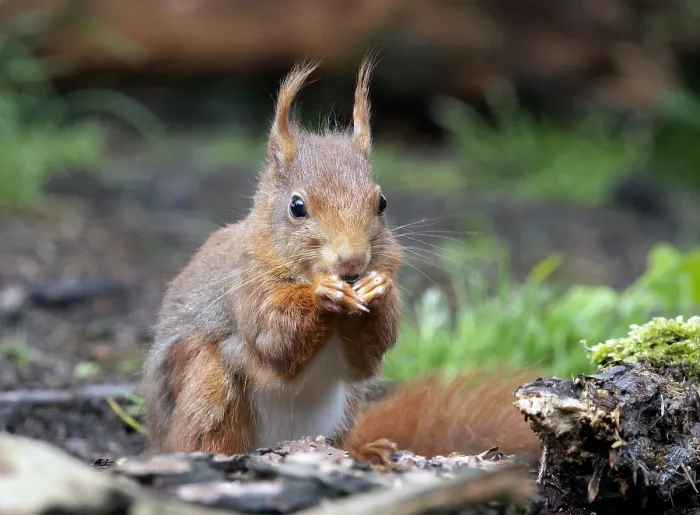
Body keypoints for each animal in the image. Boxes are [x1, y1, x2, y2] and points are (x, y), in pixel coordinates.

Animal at [141, 57, 541, 466]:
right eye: (296, 206)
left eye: (381, 202)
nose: (352, 261)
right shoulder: (246, 287)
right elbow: (272, 336)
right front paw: (323, 294)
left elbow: (371, 352)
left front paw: (378, 289)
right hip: (206, 385)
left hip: (346, 407)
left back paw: (365, 452)